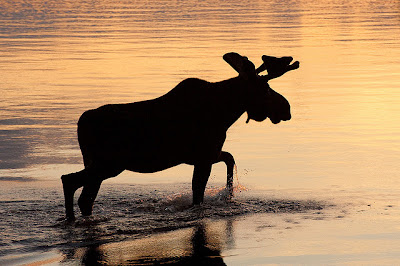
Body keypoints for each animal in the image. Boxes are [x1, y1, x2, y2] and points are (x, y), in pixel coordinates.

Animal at [61, 52, 298, 220]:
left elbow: (230, 158)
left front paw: (229, 193)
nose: (286, 108)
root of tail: (80, 124)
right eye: (266, 89)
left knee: (84, 197)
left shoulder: (207, 154)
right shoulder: (204, 156)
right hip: (109, 164)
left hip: (97, 163)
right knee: (69, 181)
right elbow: (198, 193)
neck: (227, 111)